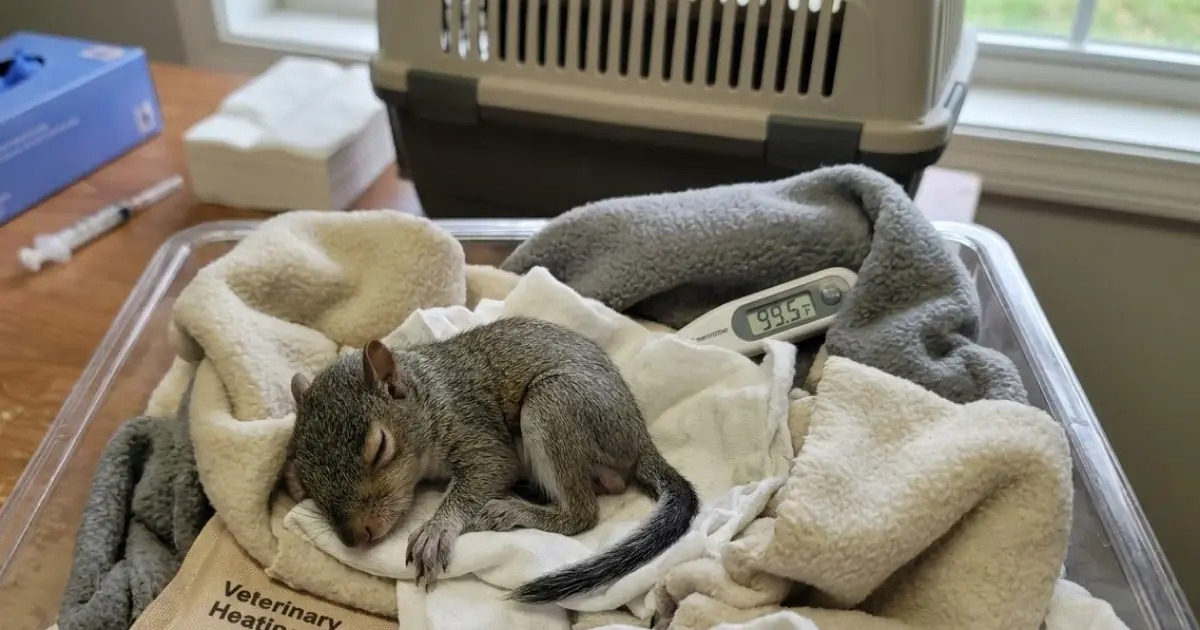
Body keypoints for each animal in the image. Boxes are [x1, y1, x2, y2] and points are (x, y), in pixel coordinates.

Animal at [282, 316, 700, 604]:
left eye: (379, 447)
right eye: (306, 470)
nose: (355, 537)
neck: (429, 394)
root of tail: (640, 439)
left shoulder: (473, 428)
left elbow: (489, 469)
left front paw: (435, 531)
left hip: (554, 404)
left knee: (583, 513)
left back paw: (510, 510)